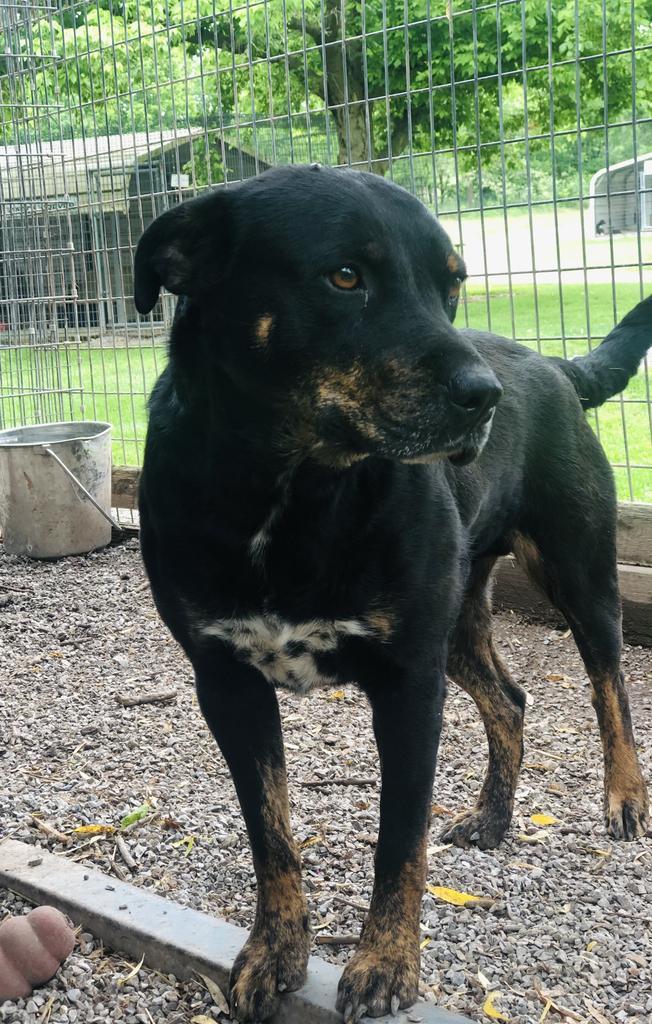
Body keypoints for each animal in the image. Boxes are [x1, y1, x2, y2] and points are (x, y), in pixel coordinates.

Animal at [135, 167, 646, 1024]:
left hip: (577, 576)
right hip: (458, 627)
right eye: (346, 276)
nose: (486, 395)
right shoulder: (227, 684)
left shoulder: (408, 685)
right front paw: (275, 950)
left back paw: (626, 798)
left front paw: (385, 963)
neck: (293, 492)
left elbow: (397, 840)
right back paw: (493, 816)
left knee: (611, 687)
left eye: (453, 284)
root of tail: (552, 366)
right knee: (510, 700)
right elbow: (269, 832)